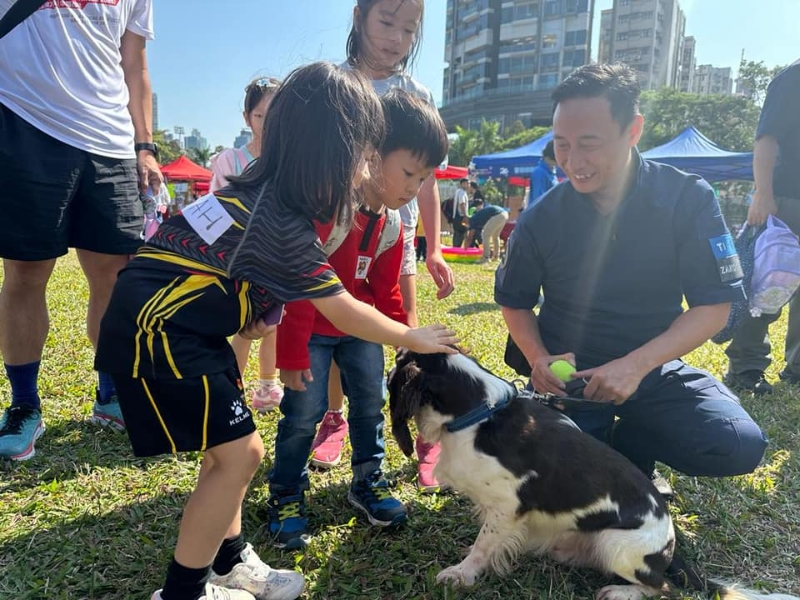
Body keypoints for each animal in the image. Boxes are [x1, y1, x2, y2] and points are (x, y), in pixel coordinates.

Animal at [388, 350, 792, 600]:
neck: (480, 414)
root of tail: (671, 549)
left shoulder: (507, 507)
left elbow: (484, 545)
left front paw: (462, 574)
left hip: (615, 544)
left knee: (664, 589)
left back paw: (619, 592)